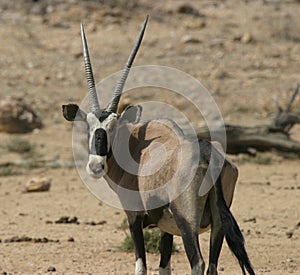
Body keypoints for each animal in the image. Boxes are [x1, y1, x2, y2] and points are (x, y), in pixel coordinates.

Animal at [62, 16, 254, 274]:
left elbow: (141, 266)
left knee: (198, 262)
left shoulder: (133, 218)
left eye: (113, 128)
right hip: (218, 225)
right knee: (212, 265)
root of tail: (207, 153)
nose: (95, 166)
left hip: (187, 221)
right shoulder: (166, 228)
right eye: (88, 127)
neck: (136, 146)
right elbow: (164, 267)